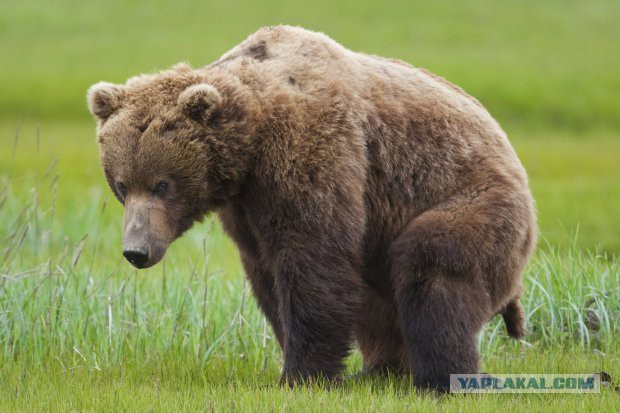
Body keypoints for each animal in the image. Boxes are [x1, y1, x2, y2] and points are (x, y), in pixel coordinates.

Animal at [87, 25, 536, 390]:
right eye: (122, 185)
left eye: (162, 184)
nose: (136, 251)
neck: (252, 139)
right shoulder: (246, 204)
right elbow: (266, 270)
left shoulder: (310, 150)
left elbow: (312, 258)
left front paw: (302, 374)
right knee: (378, 300)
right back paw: (380, 369)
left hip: (474, 200)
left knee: (432, 267)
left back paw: (441, 378)